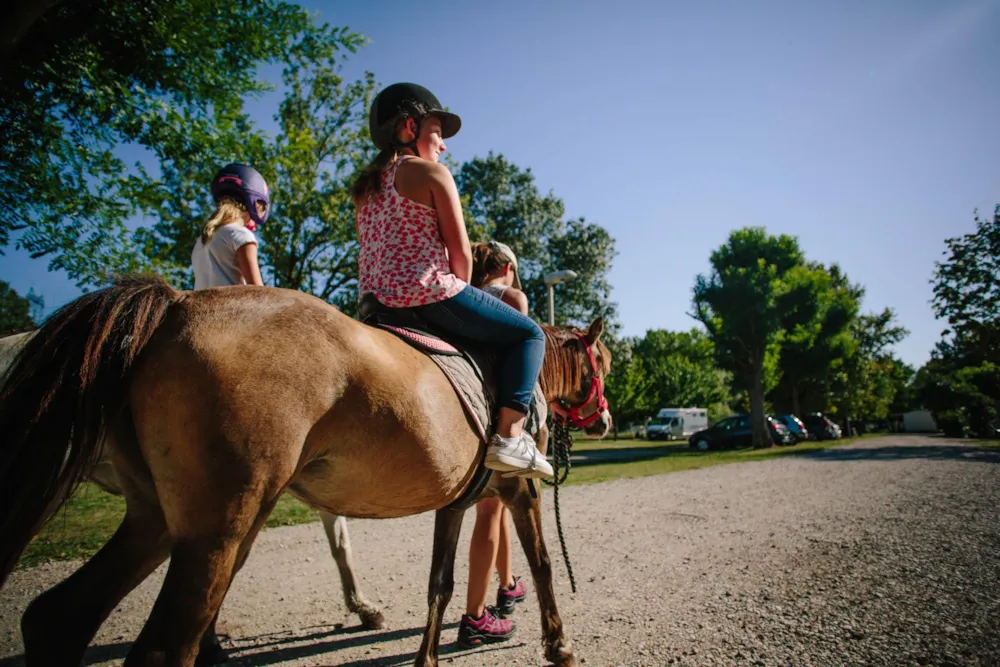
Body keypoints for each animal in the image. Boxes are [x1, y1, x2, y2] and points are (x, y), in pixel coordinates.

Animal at [0, 276, 608, 667]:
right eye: (601, 361)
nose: (603, 419)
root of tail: (176, 304)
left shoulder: (454, 503)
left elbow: (439, 584)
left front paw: (428, 658)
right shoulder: (518, 488)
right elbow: (543, 563)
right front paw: (558, 645)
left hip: (158, 520)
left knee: (56, 618)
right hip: (216, 531)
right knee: (160, 648)